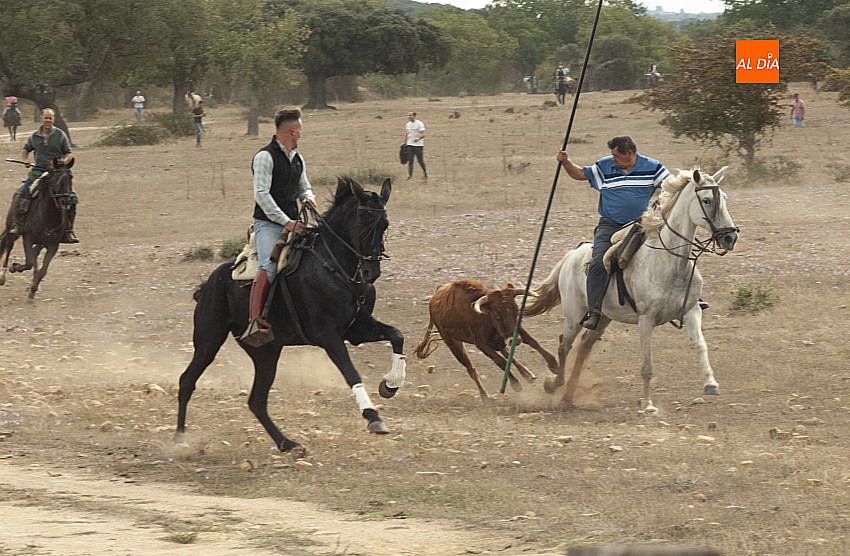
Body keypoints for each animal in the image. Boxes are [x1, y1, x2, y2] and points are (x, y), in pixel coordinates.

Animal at [0, 159, 75, 302]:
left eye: (70, 177)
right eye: (55, 178)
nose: (65, 201)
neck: (48, 217)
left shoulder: (53, 245)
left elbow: (42, 270)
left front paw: (32, 291)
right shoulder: (27, 239)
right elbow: (30, 264)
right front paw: (15, 267)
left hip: (41, 243)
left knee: (33, 254)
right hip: (11, 230)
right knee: (8, 246)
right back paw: (3, 276)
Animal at [175, 176, 406, 458]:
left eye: (384, 224)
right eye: (362, 222)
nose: (370, 272)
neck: (335, 267)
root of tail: (208, 285)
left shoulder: (357, 330)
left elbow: (396, 335)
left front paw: (391, 384)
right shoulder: (328, 335)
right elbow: (351, 373)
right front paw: (373, 417)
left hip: (266, 352)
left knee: (257, 401)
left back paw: (287, 443)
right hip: (209, 341)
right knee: (187, 381)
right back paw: (180, 440)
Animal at [525, 168, 739, 412]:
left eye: (724, 198)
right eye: (706, 200)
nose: (730, 237)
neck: (670, 262)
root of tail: (571, 255)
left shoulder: (691, 311)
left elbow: (701, 345)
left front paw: (711, 384)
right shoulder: (646, 320)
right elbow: (647, 365)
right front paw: (648, 405)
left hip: (602, 318)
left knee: (584, 346)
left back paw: (568, 396)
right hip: (573, 316)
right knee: (564, 345)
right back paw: (554, 384)